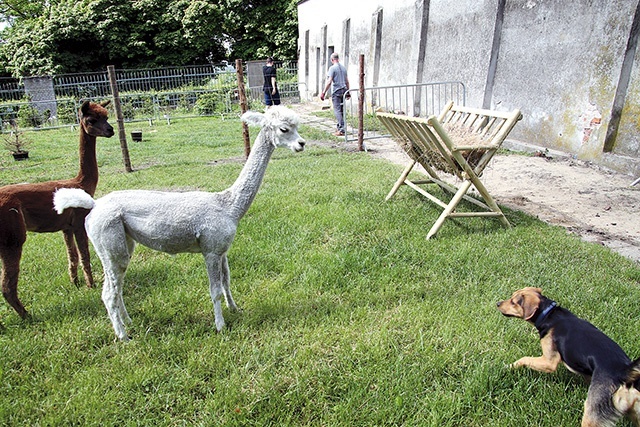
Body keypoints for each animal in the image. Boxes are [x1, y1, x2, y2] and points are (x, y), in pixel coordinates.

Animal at [500, 290, 640, 426]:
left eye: (513, 302)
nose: (498, 303)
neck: (549, 314)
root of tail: (625, 372)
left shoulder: (549, 361)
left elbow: (524, 359)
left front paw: (509, 366)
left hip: (593, 415)